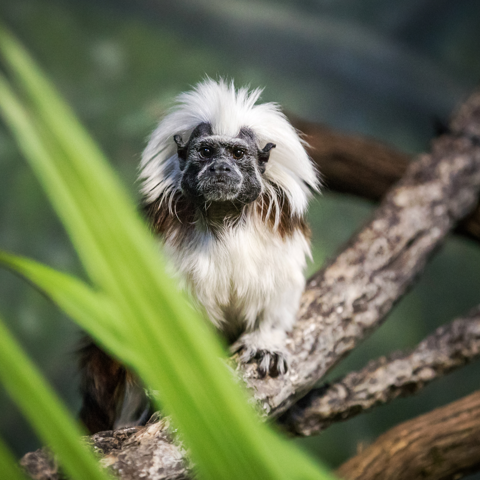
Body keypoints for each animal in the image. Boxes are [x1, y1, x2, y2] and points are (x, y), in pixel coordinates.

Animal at [78, 79, 318, 436]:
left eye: (237, 153)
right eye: (206, 152)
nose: (220, 167)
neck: (223, 218)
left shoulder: (281, 236)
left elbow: (279, 292)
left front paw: (266, 342)